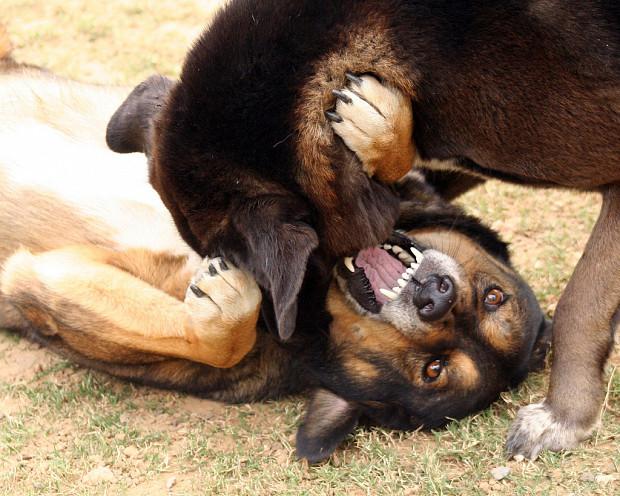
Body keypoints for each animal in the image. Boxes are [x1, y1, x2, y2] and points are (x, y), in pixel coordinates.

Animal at [0, 36, 552, 464]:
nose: (435, 297)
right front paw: (381, 127)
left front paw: (226, 310)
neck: (319, 283)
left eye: (434, 369)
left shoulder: (49, 279)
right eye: (493, 296)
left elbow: (216, 343)